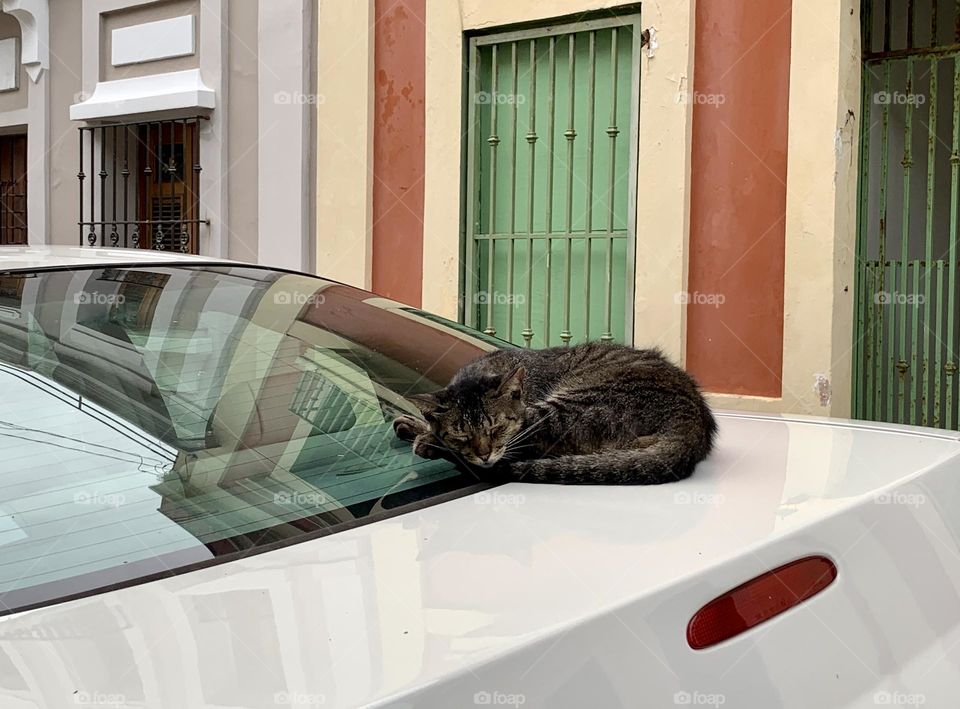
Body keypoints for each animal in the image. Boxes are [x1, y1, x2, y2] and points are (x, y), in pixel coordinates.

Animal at [390, 342, 712, 484]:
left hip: (567, 408)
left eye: (496, 428)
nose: (484, 455)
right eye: (462, 435)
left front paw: (424, 434)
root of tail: (691, 423)